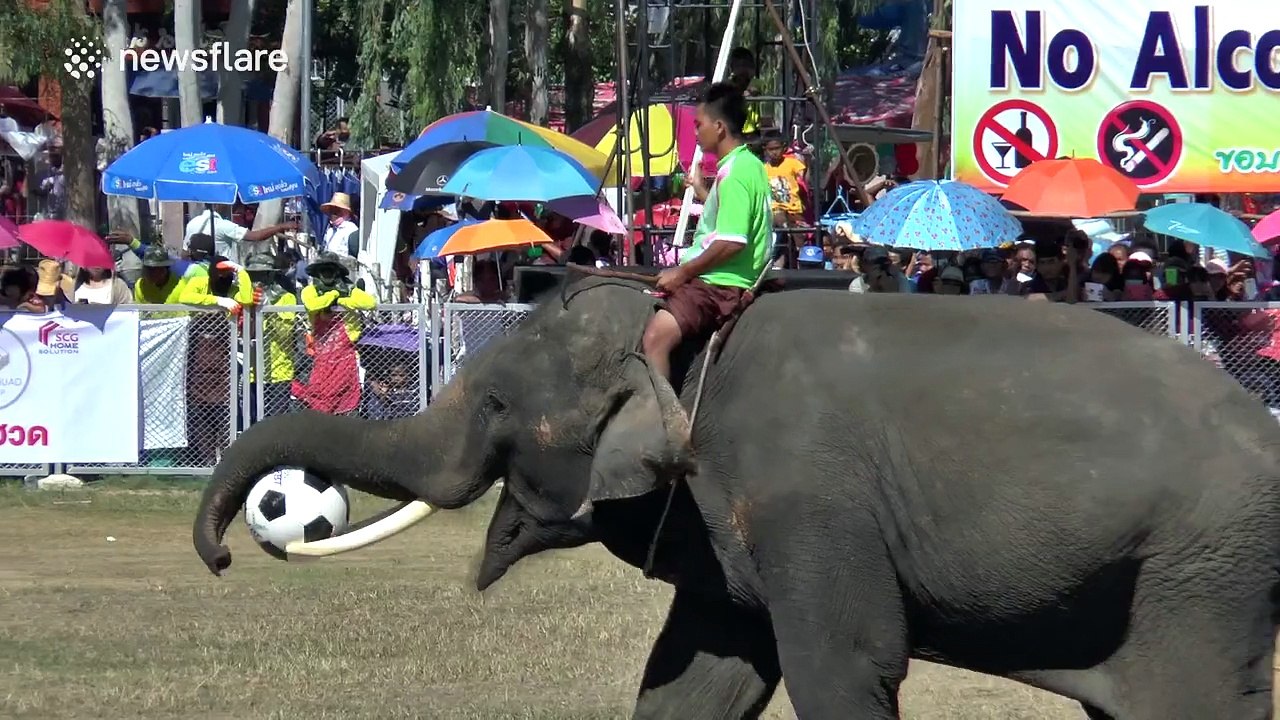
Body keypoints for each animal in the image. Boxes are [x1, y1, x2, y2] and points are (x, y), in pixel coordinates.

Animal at [194, 277, 1280, 719]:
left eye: (497, 402)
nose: (227, 550)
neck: (683, 345)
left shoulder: (808, 503)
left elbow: (845, 667)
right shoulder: (722, 530)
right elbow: (695, 681)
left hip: (1201, 570)